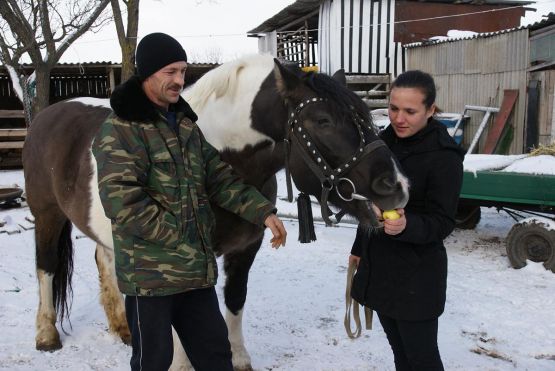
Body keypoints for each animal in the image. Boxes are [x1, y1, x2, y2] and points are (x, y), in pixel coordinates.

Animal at [21, 53, 408, 370]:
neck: (223, 153)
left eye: (367, 116)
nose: (398, 186)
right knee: (46, 267)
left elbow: (235, 300)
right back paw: (46, 335)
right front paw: (181, 365)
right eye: (322, 120)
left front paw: (239, 358)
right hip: (47, 214)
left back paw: (123, 329)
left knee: (106, 262)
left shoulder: (245, 249)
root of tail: (47, 115)